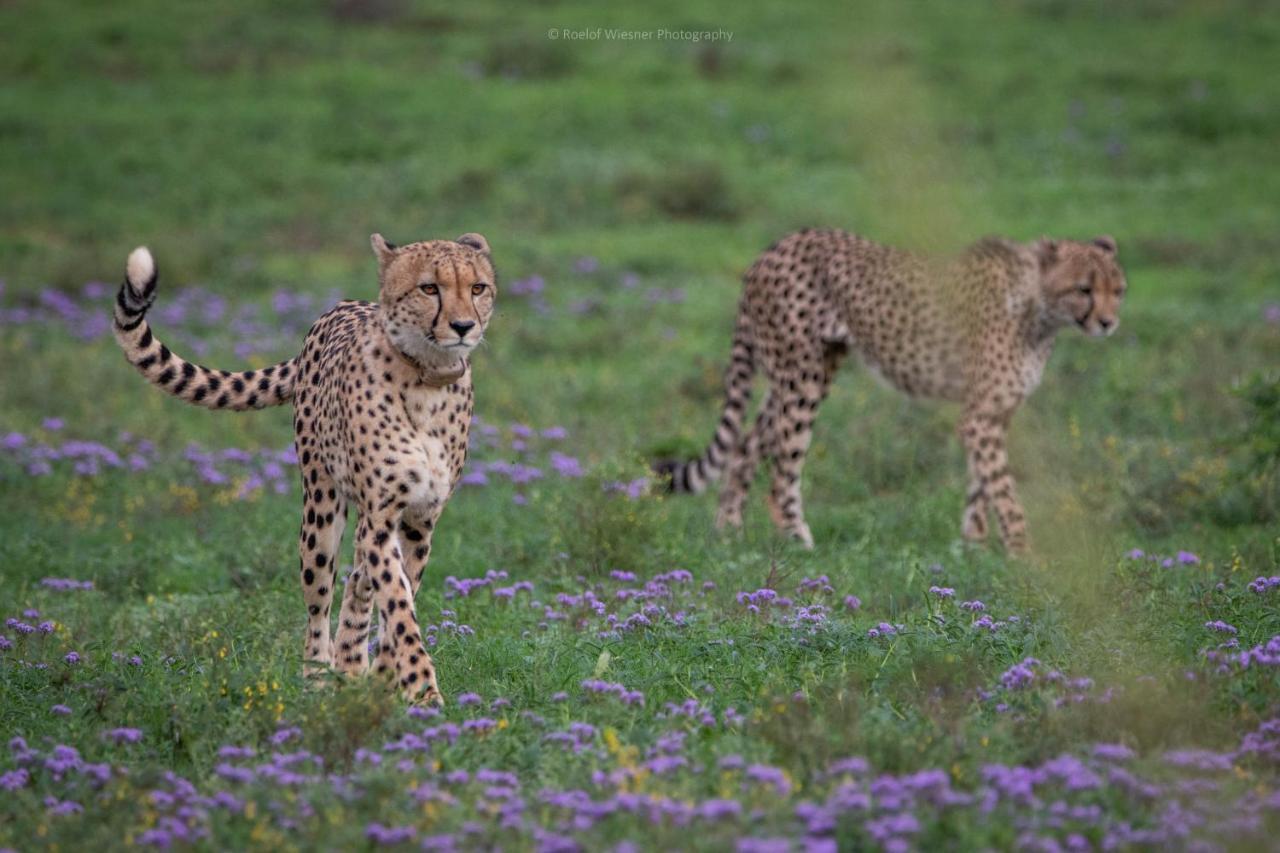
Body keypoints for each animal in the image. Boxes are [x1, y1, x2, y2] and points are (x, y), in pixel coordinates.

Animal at [112, 229, 496, 701]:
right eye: (429, 289)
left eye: (477, 288)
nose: (463, 326)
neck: (428, 379)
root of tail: (341, 307)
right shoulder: (382, 515)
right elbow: (398, 604)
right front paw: (423, 691)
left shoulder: (420, 520)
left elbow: (397, 596)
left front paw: (390, 676)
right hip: (320, 510)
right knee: (321, 599)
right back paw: (320, 675)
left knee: (357, 581)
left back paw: (353, 664)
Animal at [655, 229, 1126, 548]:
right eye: (1084, 288)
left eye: (1118, 290)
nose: (1108, 323)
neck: (1039, 307)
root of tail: (773, 247)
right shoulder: (980, 416)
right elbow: (1005, 492)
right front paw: (1025, 558)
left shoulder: (992, 414)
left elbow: (983, 483)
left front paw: (973, 547)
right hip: (801, 377)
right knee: (783, 464)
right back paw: (798, 541)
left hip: (805, 371)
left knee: (747, 442)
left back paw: (728, 533)